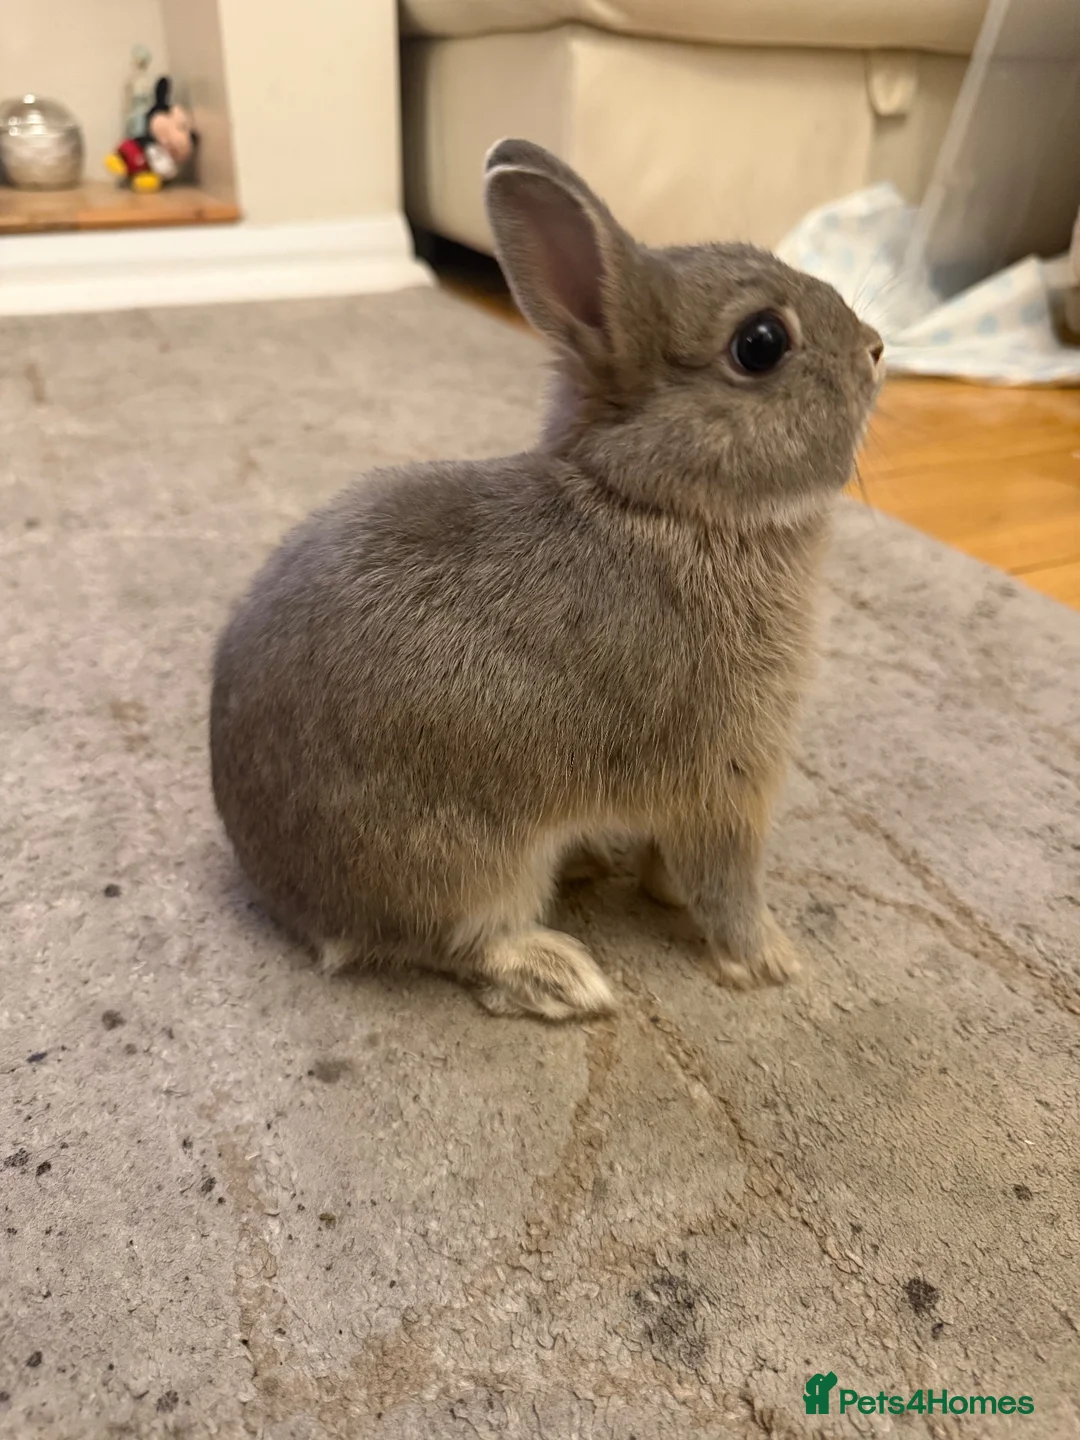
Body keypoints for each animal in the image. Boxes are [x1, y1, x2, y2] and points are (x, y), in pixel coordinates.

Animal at [210, 138, 883, 1021]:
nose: (876, 347)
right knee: (459, 944)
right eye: (762, 342)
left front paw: (668, 900)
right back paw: (561, 974)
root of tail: (290, 899)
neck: (664, 505)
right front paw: (769, 961)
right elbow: (725, 878)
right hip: (475, 861)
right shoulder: (725, 777)